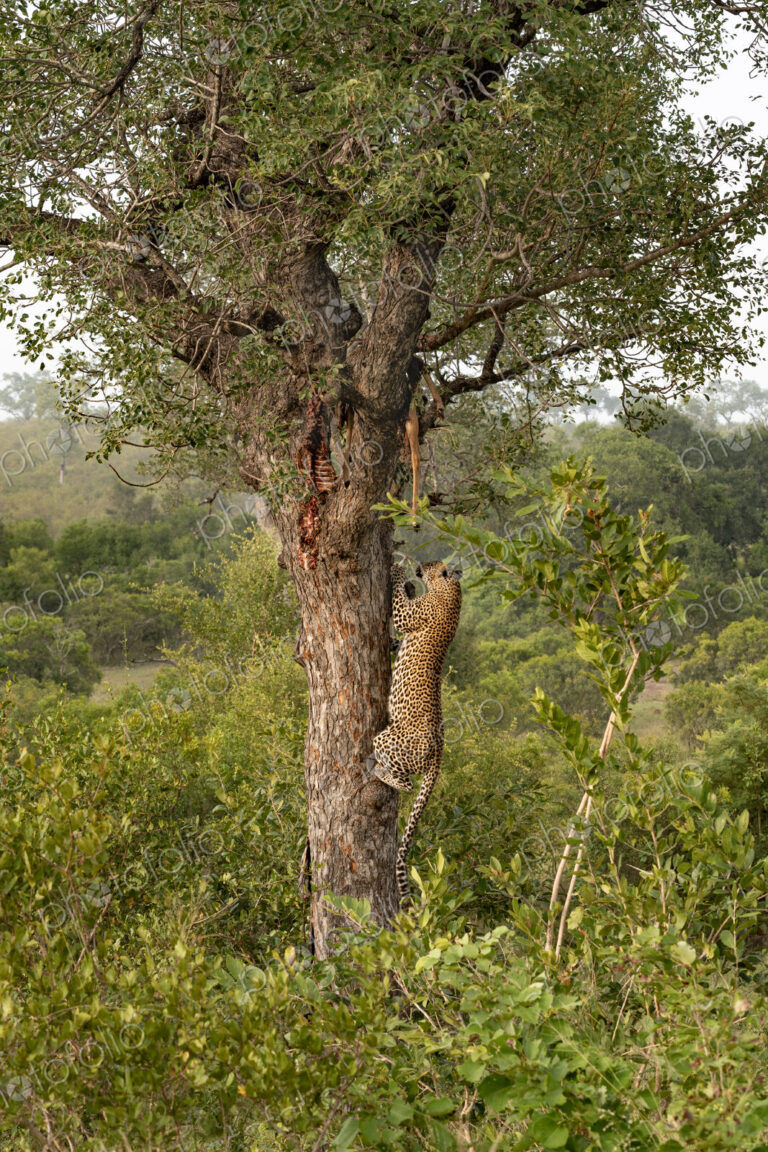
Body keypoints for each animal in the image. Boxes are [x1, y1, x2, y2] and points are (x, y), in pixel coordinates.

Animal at [372, 561, 462, 901]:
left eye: (433, 564)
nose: (420, 566)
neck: (451, 593)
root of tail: (440, 751)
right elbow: (396, 639)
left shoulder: (408, 616)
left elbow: (398, 604)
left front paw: (399, 573)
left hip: (388, 739)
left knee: (406, 784)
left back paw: (379, 772)